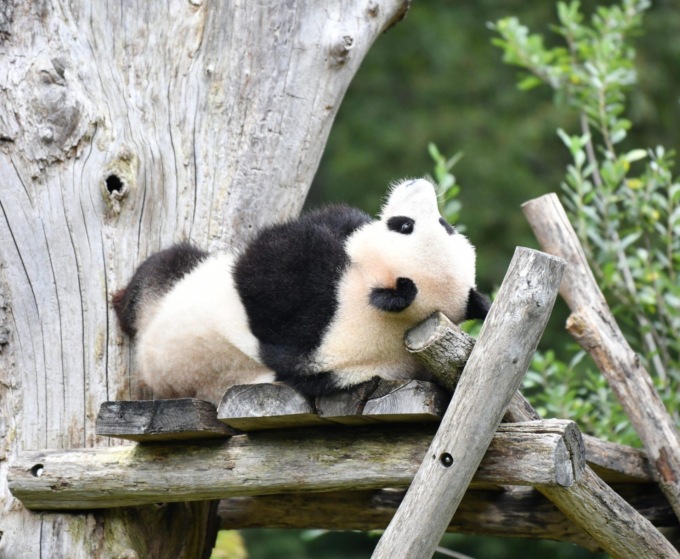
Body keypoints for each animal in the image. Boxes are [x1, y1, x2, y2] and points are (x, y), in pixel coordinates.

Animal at [113, 178, 490, 404]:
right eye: (447, 225)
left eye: (403, 226)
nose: (420, 183)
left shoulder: (318, 320)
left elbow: (272, 263)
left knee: (162, 266)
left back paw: (119, 302)